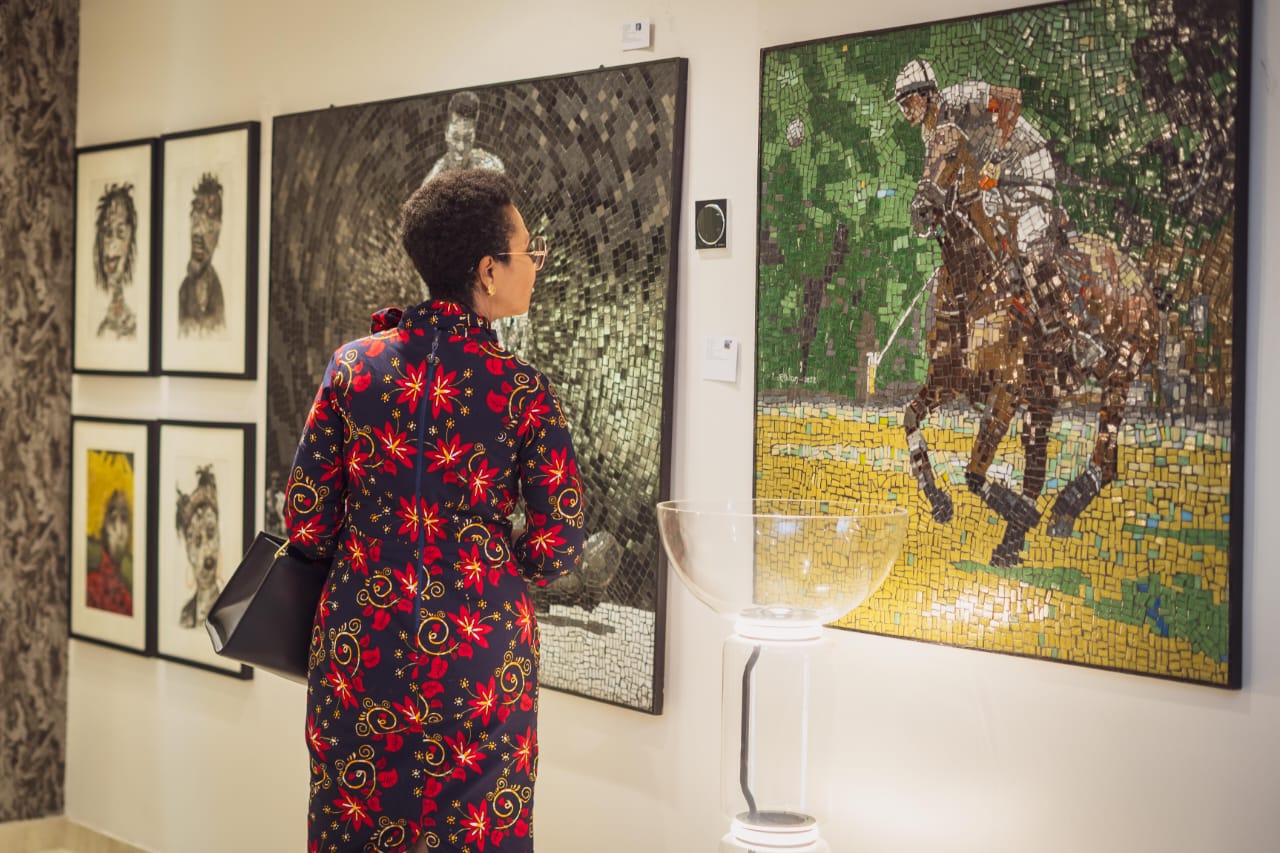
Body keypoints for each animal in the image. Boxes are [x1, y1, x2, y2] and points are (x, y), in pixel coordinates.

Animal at [901, 122, 1162, 563]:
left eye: (952, 155)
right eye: (926, 152)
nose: (921, 208)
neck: (977, 286)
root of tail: (1135, 273)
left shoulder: (1007, 389)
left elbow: (975, 472)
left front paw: (1018, 515)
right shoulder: (948, 379)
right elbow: (909, 420)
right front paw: (940, 502)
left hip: (1119, 375)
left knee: (1103, 461)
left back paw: (1051, 513)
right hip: (1046, 395)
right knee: (1055, 464)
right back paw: (1030, 530)